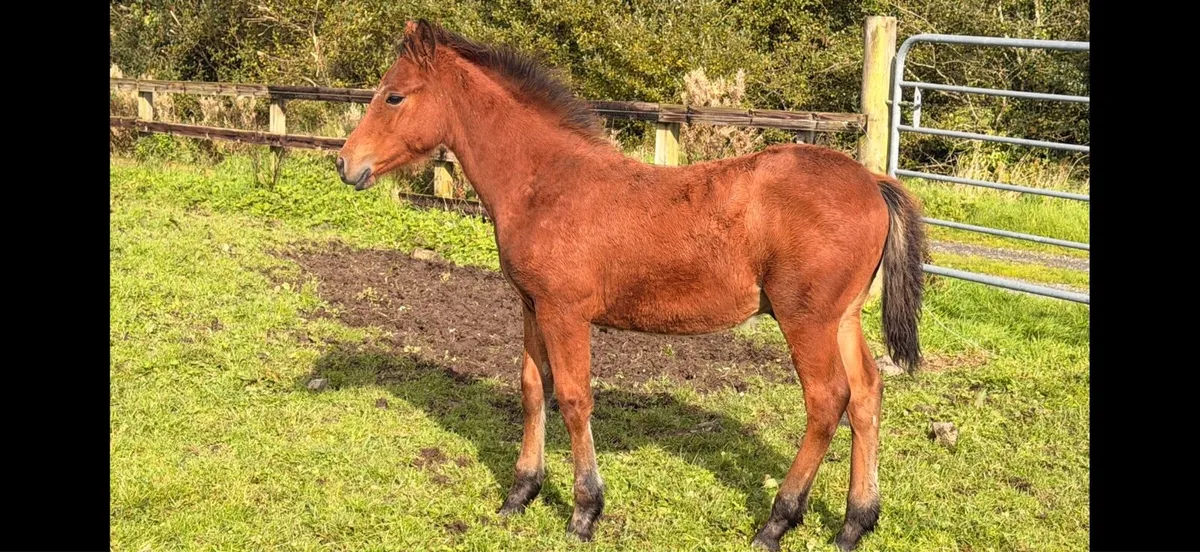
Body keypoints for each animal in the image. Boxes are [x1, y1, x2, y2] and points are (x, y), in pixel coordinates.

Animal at [336, 19, 927, 552]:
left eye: (393, 95)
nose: (345, 163)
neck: (544, 182)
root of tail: (872, 181)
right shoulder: (531, 305)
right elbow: (532, 389)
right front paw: (519, 493)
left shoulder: (565, 311)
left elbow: (574, 397)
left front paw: (584, 513)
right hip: (842, 318)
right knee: (867, 394)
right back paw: (854, 524)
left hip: (806, 319)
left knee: (827, 400)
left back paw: (777, 523)